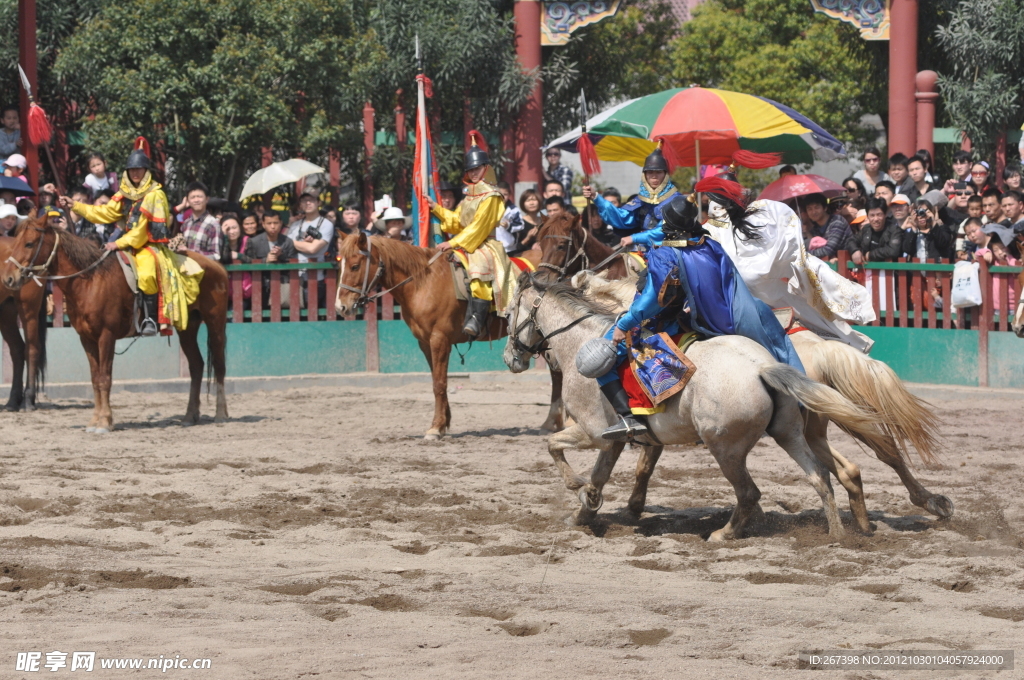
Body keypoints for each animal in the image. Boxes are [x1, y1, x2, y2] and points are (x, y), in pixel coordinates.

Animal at [0, 236, 46, 411]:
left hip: (28, 310)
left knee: (31, 349)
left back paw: (27, 400)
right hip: (6, 313)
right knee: (17, 350)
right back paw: (13, 401)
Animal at [331, 231, 565, 438]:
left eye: (354, 266)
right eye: (339, 266)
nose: (341, 307)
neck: (422, 283)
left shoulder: (439, 340)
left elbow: (439, 384)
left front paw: (435, 427)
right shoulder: (425, 343)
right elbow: (437, 380)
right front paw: (444, 421)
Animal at [503, 274, 888, 536]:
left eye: (507, 314)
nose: (510, 358)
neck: (580, 343)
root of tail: (762, 367)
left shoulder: (593, 433)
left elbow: (552, 444)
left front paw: (575, 486)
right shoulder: (614, 441)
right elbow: (601, 476)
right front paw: (586, 511)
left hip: (726, 448)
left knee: (749, 493)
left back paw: (723, 534)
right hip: (790, 434)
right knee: (821, 476)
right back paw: (839, 534)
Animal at [536, 213, 950, 520]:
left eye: (562, 243)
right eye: (538, 236)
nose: (540, 277)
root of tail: (818, 347)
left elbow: (644, 461)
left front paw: (631, 505)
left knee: (869, 453)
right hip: (821, 417)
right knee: (874, 454)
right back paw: (923, 502)